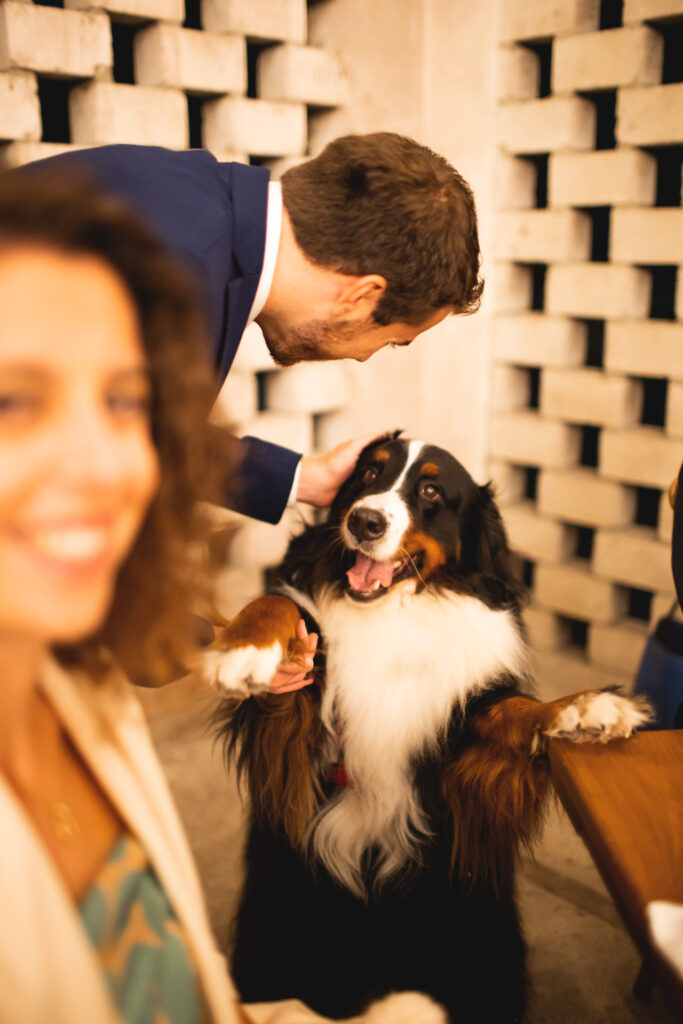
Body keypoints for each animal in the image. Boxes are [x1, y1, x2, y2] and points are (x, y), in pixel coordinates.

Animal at [202, 434, 651, 1024]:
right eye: (368, 474)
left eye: (433, 492)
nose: (365, 521)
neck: (396, 612)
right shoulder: (290, 732)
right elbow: (276, 602)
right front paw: (243, 649)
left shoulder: (463, 748)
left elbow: (516, 710)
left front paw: (587, 711)